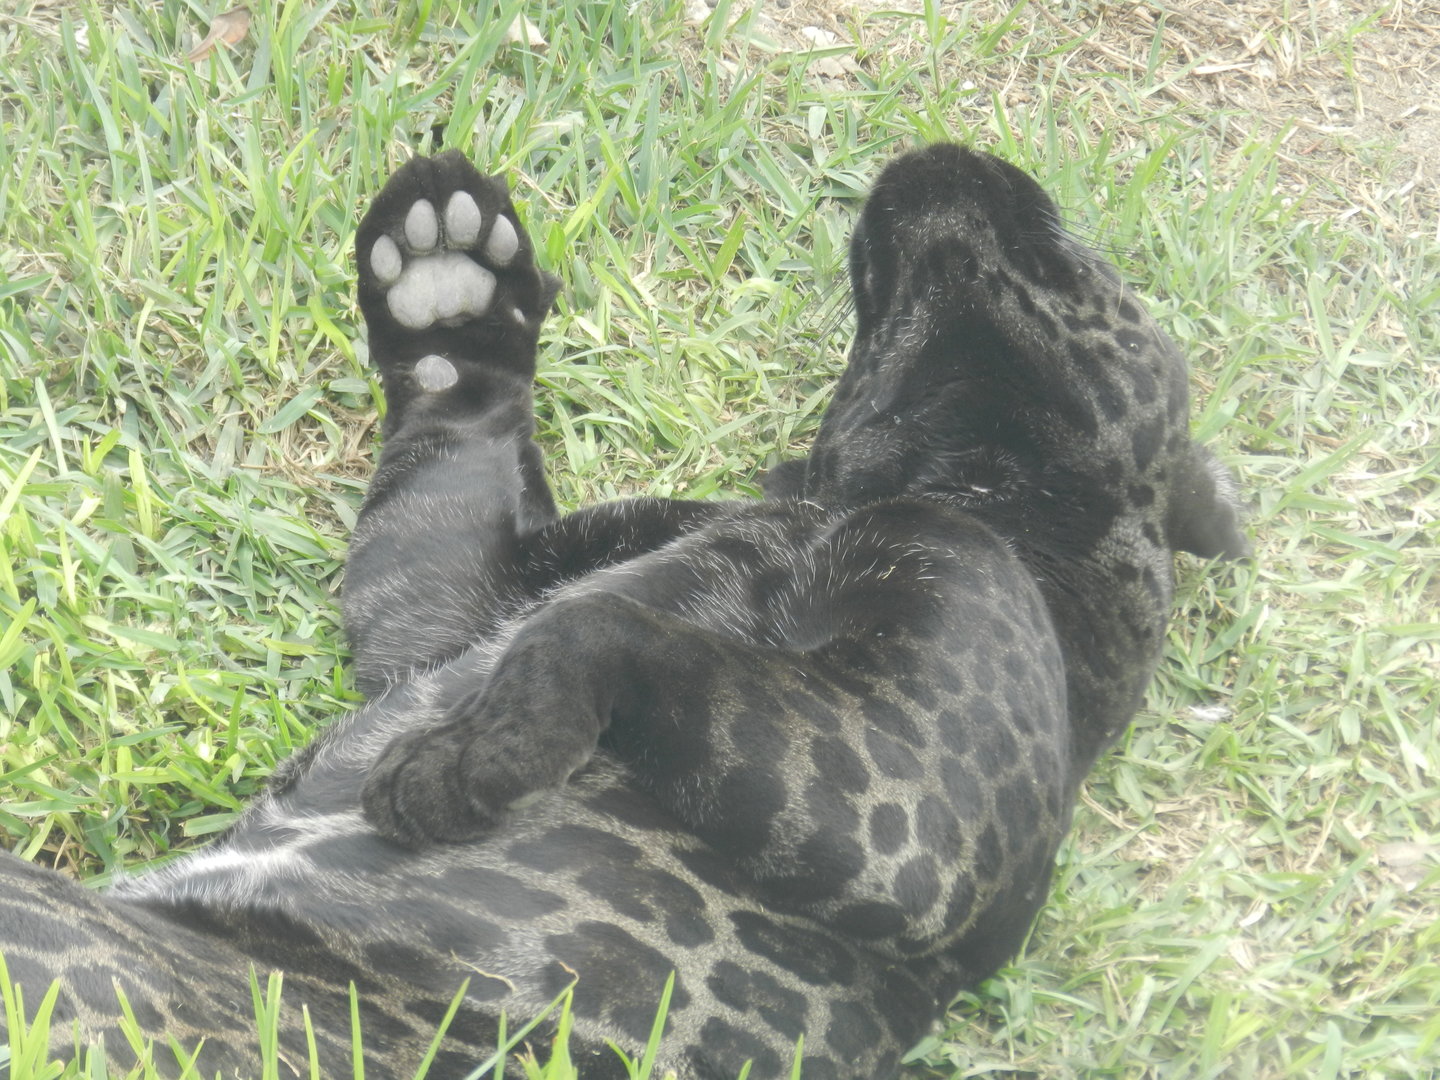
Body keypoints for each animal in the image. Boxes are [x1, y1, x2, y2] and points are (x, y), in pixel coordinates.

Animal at [0, 143, 1248, 1080]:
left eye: (1080, 250)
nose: (957, 148)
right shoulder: (454, 604)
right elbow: (452, 464)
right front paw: (448, 292)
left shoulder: (910, 818)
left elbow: (605, 635)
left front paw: (470, 760)